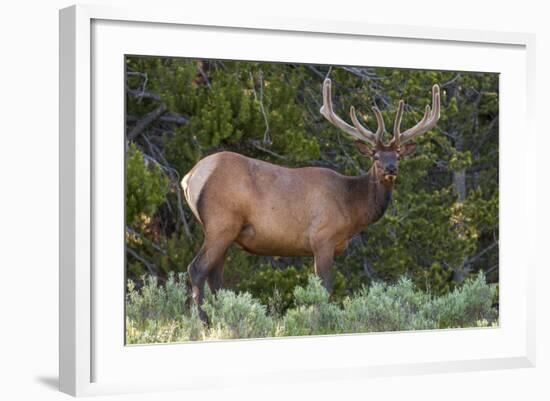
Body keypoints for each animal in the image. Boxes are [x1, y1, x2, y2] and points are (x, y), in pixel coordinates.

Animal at [183, 78, 442, 322]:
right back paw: (204, 321)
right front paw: (322, 321)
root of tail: (190, 177)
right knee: (197, 269)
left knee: (215, 276)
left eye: (397, 155)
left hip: (226, 231)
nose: (391, 169)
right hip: (221, 222)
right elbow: (325, 290)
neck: (351, 207)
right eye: (375, 156)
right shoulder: (322, 238)